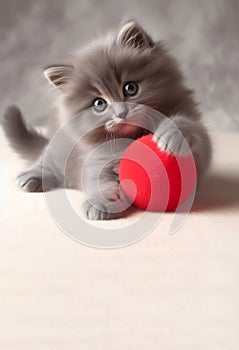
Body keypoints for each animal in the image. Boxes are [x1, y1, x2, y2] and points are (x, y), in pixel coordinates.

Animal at [1, 21, 211, 219]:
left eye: (130, 88)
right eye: (99, 104)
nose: (121, 113)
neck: (131, 136)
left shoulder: (198, 145)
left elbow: (192, 132)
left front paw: (171, 134)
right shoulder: (95, 160)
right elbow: (101, 183)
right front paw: (100, 205)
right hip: (59, 150)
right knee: (46, 159)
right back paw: (31, 177)